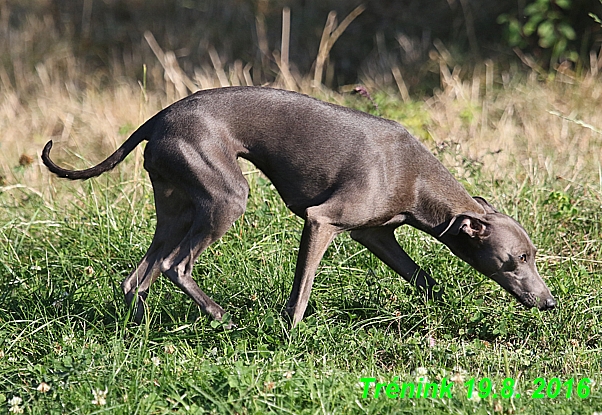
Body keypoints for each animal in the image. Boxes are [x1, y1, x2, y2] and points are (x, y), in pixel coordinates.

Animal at [41, 87, 552, 328]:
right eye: (518, 259)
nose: (549, 302)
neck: (416, 176)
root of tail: (158, 117)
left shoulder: (375, 232)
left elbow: (422, 276)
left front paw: (444, 305)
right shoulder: (321, 220)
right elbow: (301, 290)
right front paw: (290, 332)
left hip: (177, 206)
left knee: (137, 277)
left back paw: (141, 331)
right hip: (226, 197)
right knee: (174, 265)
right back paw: (221, 317)